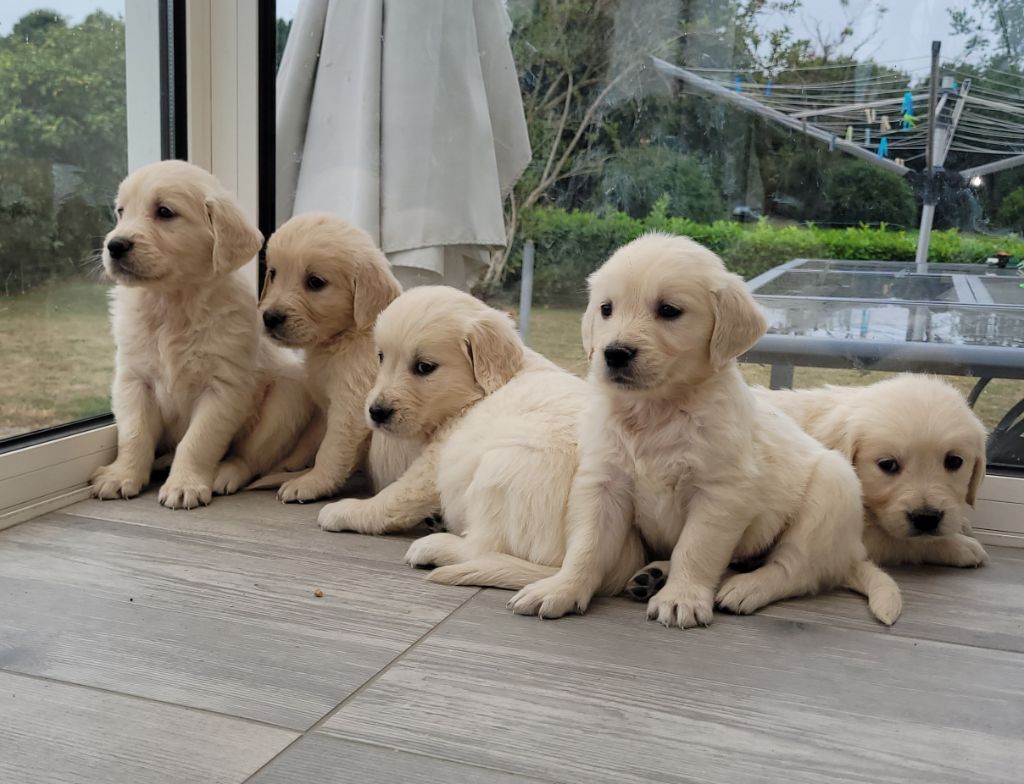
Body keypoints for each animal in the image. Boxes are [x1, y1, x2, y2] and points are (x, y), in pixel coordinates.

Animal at [90, 160, 312, 508]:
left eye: (165, 212)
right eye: (121, 212)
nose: (114, 245)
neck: (171, 305)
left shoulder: (223, 388)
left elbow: (198, 441)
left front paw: (185, 484)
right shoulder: (133, 380)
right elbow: (134, 434)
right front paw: (121, 475)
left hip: (286, 398)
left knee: (252, 458)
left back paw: (225, 473)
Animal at [257, 213, 402, 502]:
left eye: (315, 282)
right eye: (273, 273)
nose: (270, 317)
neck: (343, 337)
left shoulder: (351, 403)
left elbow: (331, 448)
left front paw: (312, 482)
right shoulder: (325, 403)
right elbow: (312, 437)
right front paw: (291, 463)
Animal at [316, 286, 645, 596]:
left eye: (424, 367)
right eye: (381, 356)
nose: (376, 412)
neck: (474, 396)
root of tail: (619, 561)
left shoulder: (437, 462)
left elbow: (393, 498)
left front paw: (346, 511)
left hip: (503, 466)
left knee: (483, 548)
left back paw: (434, 547)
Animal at [507, 233, 902, 627]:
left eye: (669, 310)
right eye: (606, 309)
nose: (615, 353)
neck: (656, 410)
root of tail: (849, 554)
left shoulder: (720, 493)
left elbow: (695, 548)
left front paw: (681, 597)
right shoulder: (603, 483)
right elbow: (587, 546)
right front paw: (562, 588)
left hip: (830, 494)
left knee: (794, 570)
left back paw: (745, 588)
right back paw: (655, 575)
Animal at [757, 376, 989, 567]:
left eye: (954, 461)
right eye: (888, 464)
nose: (926, 518)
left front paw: (961, 526)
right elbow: (901, 540)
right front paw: (959, 546)